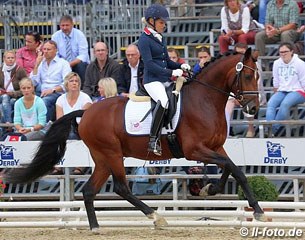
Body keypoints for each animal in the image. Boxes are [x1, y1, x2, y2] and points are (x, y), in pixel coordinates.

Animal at [3, 48, 264, 231]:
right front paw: (258, 210)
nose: (253, 108)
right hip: (112, 154)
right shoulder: (194, 150)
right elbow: (234, 169)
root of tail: (86, 112)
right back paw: (156, 217)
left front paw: (212, 189)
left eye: (259, 75)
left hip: (103, 158)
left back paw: (95, 227)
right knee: (120, 187)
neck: (205, 99)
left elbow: (231, 168)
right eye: (247, 75)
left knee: (89, 190)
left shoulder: (216, 147)